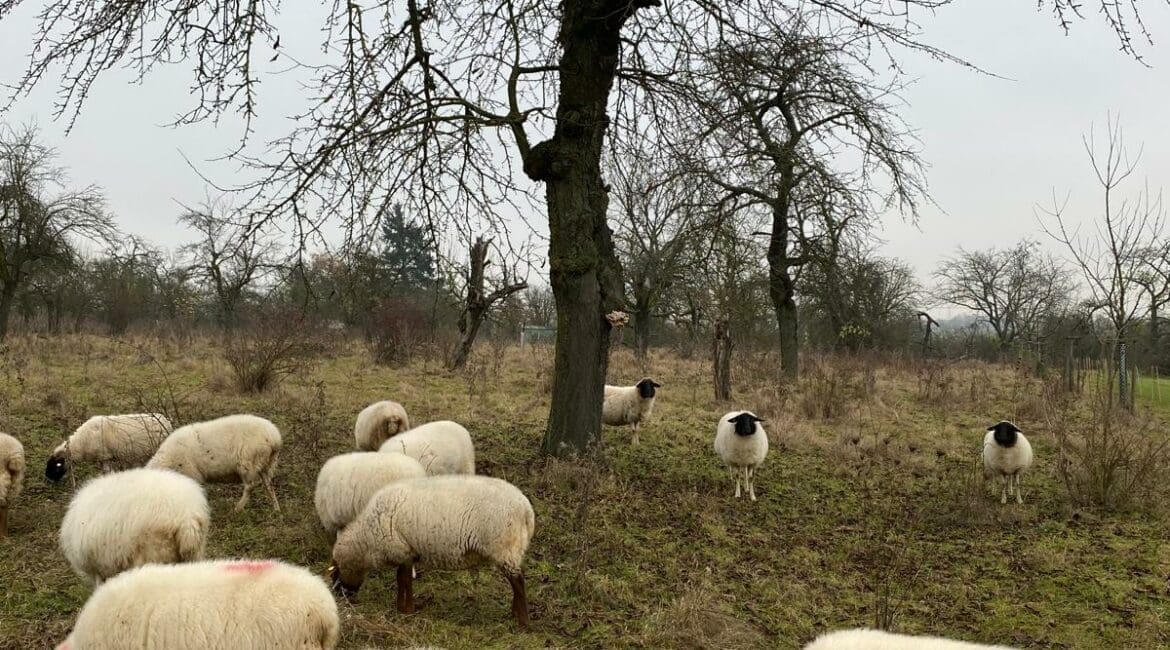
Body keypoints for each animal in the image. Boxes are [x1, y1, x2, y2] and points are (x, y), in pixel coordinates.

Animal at [45, 414, 173, 482]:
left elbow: (106, 471)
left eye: (57, 465)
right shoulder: (103, 458)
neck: (82, 443)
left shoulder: (105, 456)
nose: (48, 479)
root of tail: (166, 421)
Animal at [147, 414, 282, 512]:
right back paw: (276, 509)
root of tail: (274, 437)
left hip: (249, 462)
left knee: (251, 485)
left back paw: (237, 509)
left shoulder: (191, 474)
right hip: (266, 464)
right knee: (269, 485)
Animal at [329, 475, 535, 628]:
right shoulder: (407, 552)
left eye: (335, 573)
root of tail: (526, 509)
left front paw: (406, 610)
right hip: (511, 549)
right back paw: (514, 613)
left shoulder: (402, 549)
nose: (339, 596)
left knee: (518, 581)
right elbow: (401, 579)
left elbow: (404, 580)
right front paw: (401, 607)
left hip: (504, 547)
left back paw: (523, 622)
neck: (366, 538)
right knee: (516, 581)